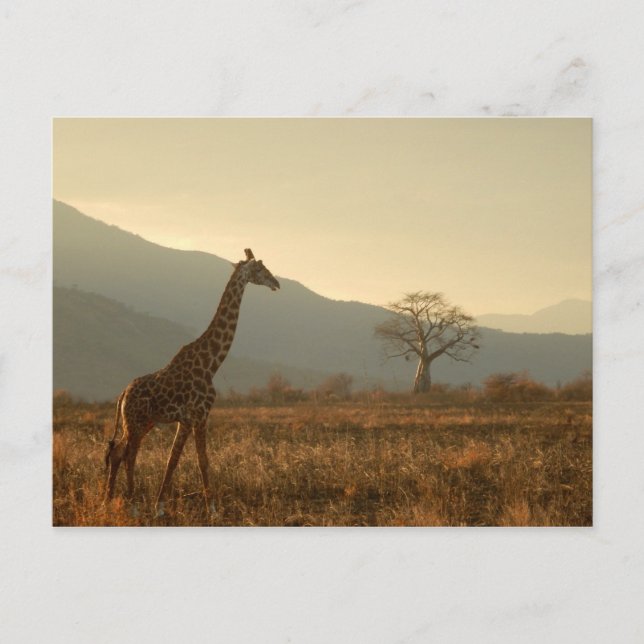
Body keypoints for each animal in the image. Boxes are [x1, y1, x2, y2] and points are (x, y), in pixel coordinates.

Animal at [104, 248, 280, 517]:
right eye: (260, 268)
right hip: (136, 422)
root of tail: (122, 394)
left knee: (117, 451)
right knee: (129, 454)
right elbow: (198, 460)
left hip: (141, 423)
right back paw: (131, 505)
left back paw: (107, 502)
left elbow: (176, 460)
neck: (211, 364)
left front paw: (161, 506)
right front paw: (212, 509)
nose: (276, 283)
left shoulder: (187, 420)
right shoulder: (198, 415)